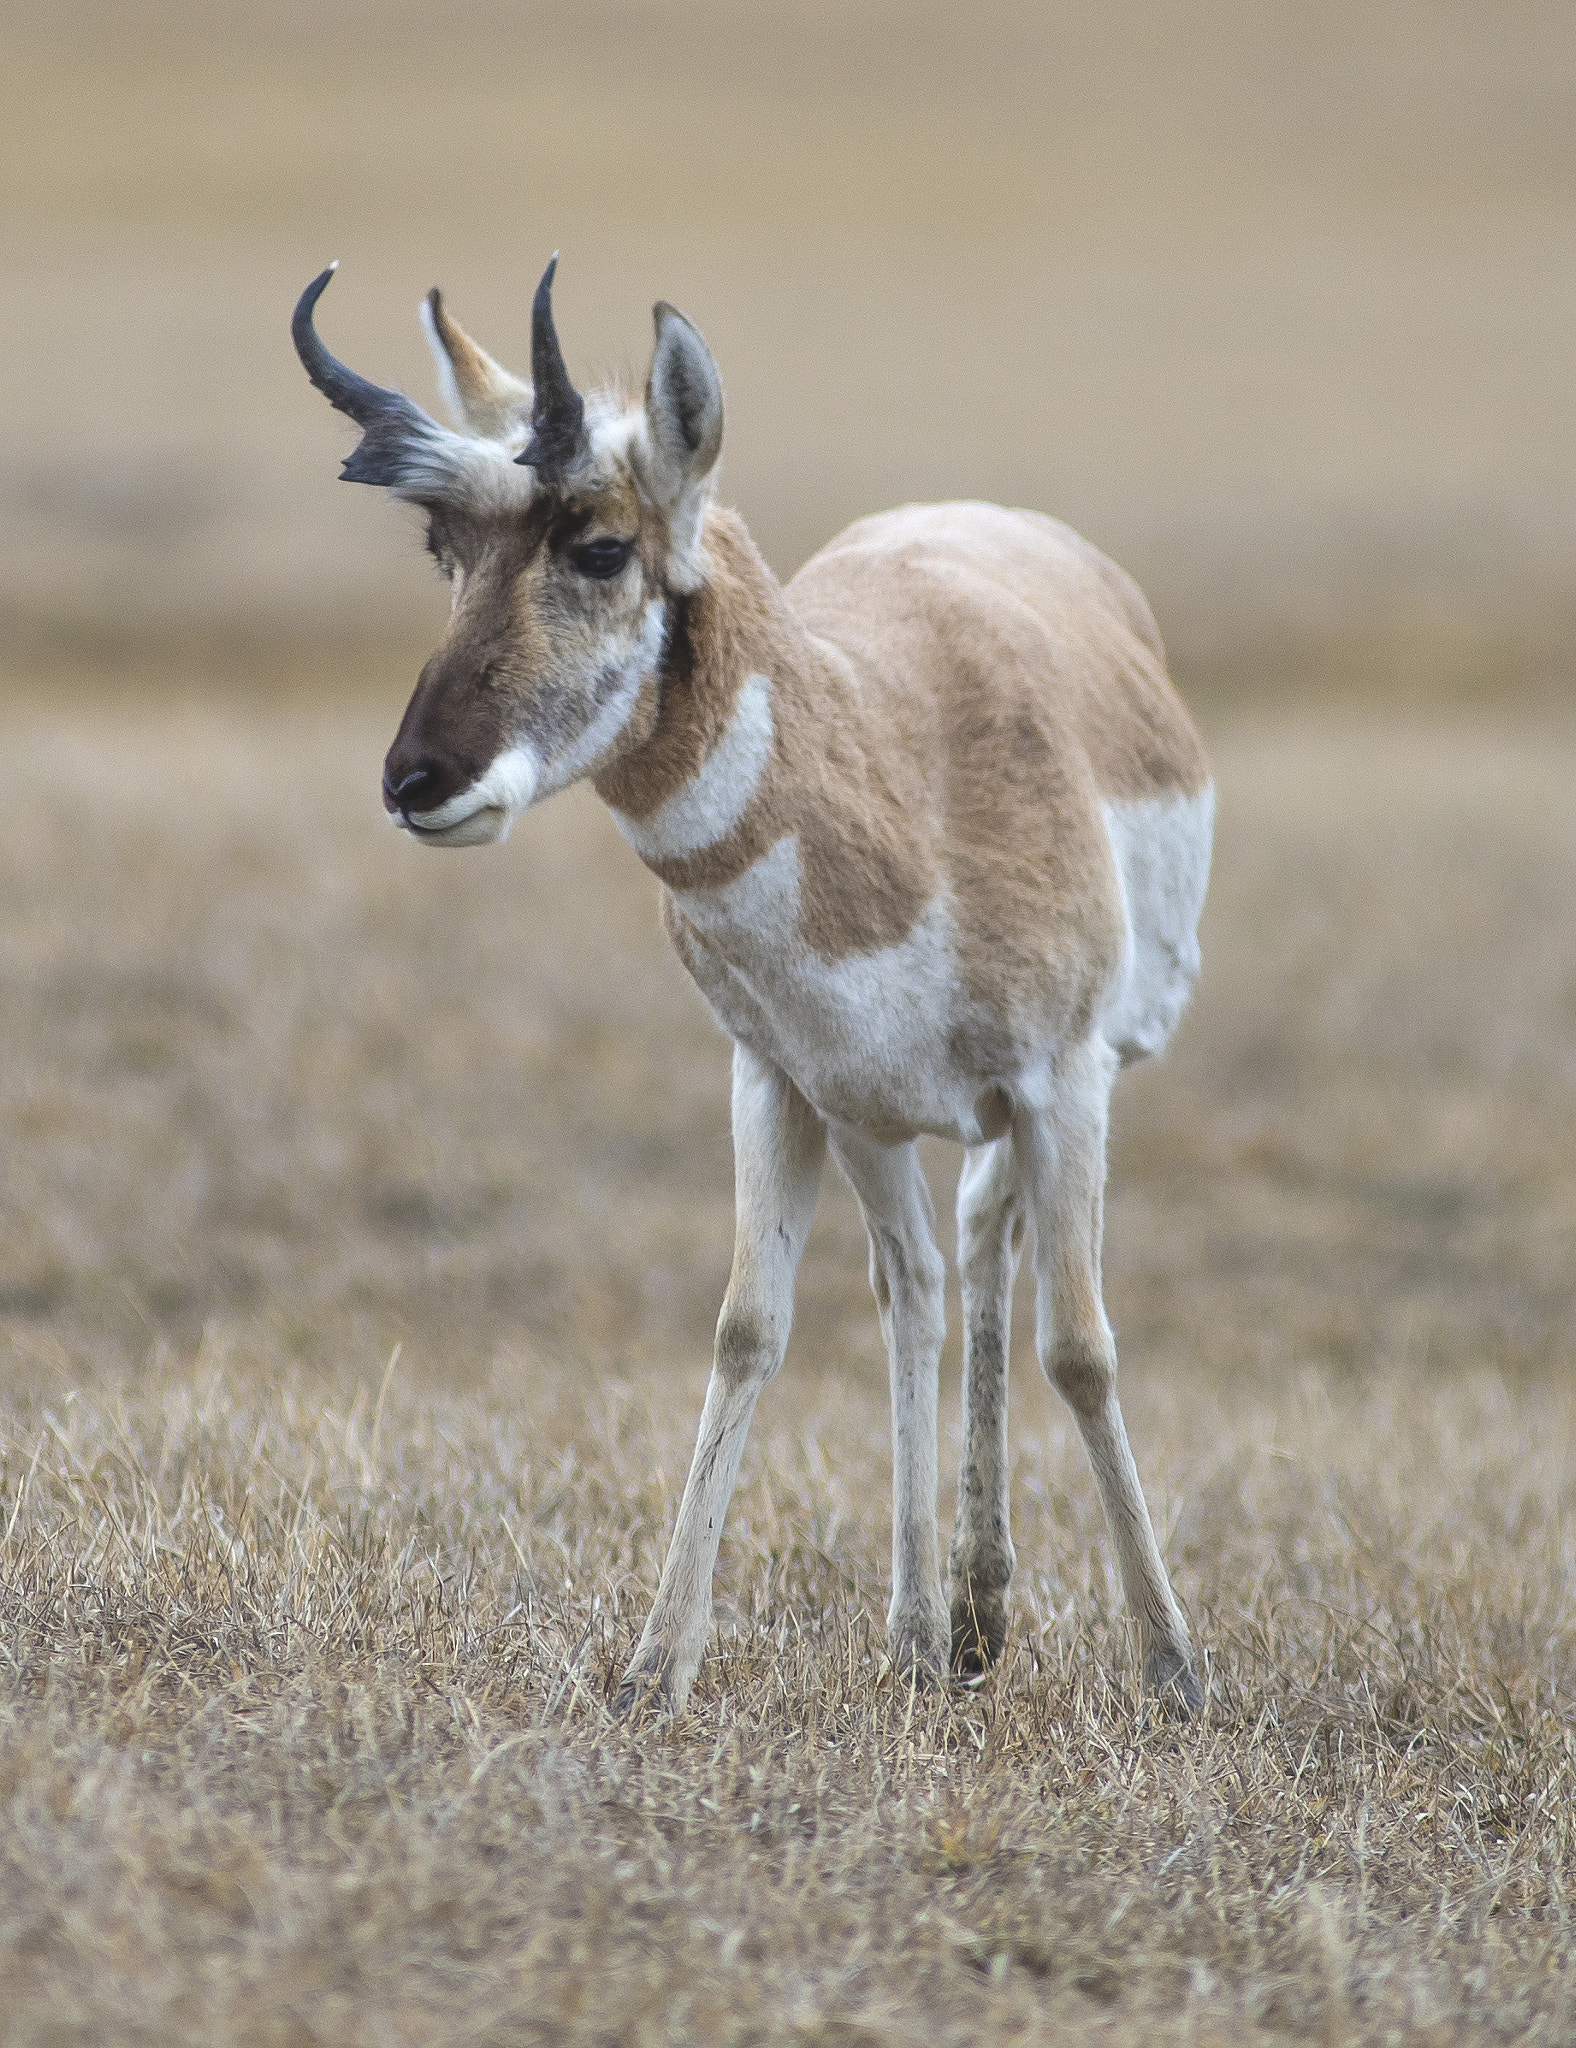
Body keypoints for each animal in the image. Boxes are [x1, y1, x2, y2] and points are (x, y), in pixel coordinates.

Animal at [290, 256, 1203, 1712]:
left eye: (600, 544)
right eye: (448, 552)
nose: (415, 781)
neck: (900, 765)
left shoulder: (1063, 1081)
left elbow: (1082, 1343)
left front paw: (1173, 1665)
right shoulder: (784, 1080)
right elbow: (748, 1327)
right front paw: (656, 1663)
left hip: (1038, 1098)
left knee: (985, 1246)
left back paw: (978, 1608)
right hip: (875, 1118)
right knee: (920, 1284)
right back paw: (936, 1625)